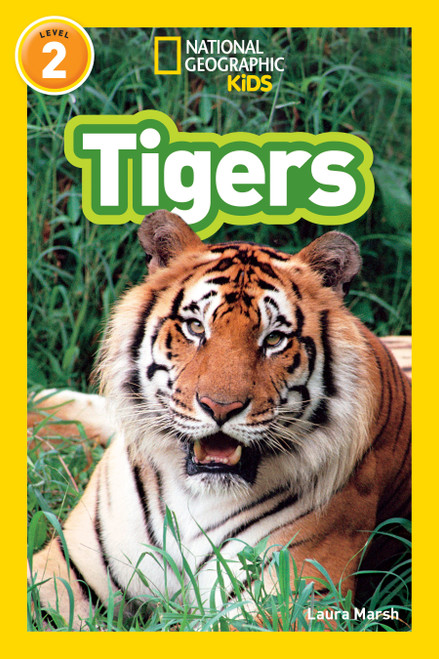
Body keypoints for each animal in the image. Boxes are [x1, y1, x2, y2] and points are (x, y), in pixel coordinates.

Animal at [28, 210, 411, 630]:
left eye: (274, 339)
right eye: (196, 327)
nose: (221, 407)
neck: (193, 496)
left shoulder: (288, 602)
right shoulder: (64, 569)